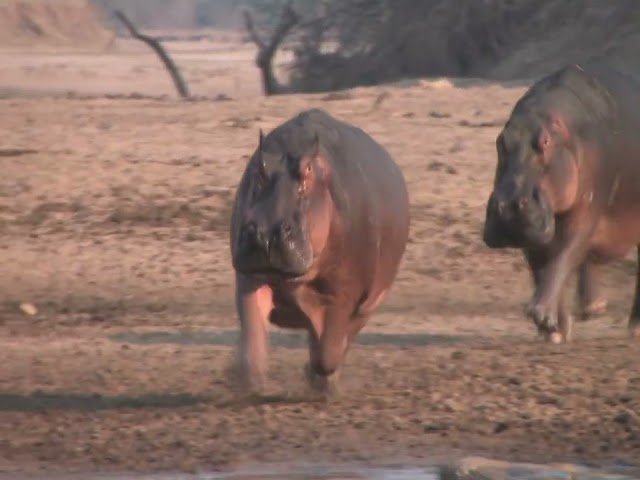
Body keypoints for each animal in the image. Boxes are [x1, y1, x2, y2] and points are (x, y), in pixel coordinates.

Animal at [230, 109, 410, 394]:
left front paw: (318, 378)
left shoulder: (343, 294)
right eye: (259, 170)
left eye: (307, 172)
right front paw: (248, 381)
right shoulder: (251, 278)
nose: (265, 233)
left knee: (342, 341)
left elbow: (328, 351)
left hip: (368, 304)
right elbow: (252, 338)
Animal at [482, 62, 640, 342]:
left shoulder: (586, 210)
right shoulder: (530, 231)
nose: (507, 208)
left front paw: (542, 314)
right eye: (500, 141)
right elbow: (542, 267)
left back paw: (634, 329)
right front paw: (554, 329)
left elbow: (563, 256)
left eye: (545, 141)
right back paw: (592, 307)